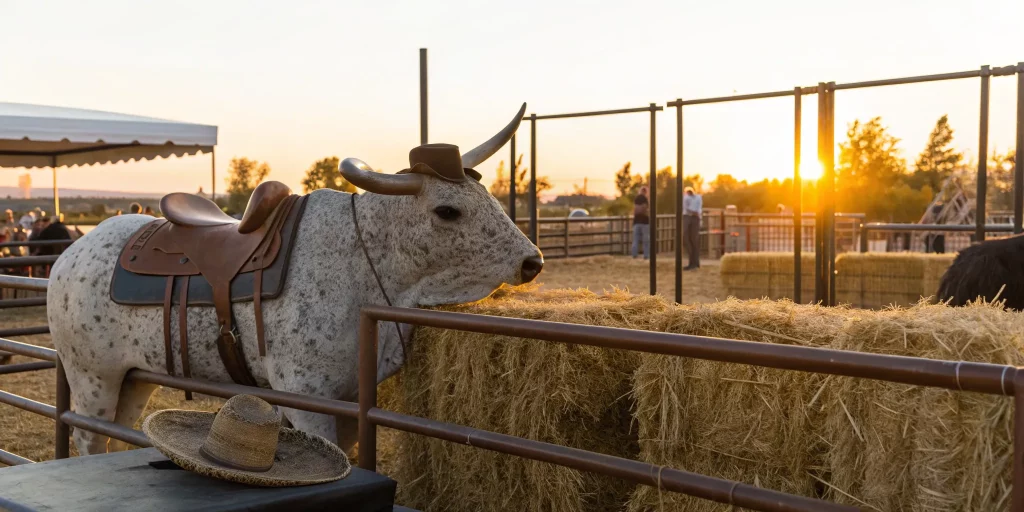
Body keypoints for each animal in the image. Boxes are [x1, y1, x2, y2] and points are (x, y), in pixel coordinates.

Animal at [46, 105, 543, 455]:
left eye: (485, 194)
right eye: (447, 210)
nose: (532, 261)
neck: (363, 261)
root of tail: (68, 256)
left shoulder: (351, 401)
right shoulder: (306, 396)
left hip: (134, 378)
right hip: (93, 379)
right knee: (89, 438)